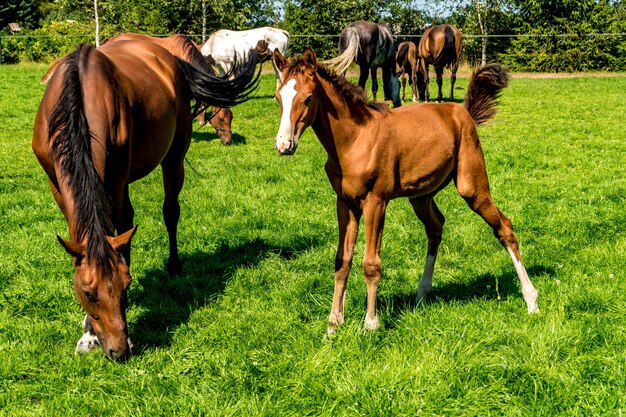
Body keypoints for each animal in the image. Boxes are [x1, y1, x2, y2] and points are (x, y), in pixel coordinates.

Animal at [31, 39, 256, 358]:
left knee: (170, 211)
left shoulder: (114, 180)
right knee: (127, 222)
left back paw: (174, 264)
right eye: (88, 293)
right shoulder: (57, 185)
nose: (119, 350)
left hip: (173, 158)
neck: (80, 99)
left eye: (125, 286)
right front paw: (87, 334)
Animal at [272, 48, 536, 334]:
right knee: (436, 227)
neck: (354, 140)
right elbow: (342, 260)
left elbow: (371, 263)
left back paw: (531, 300)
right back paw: (422, 294)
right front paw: (333, 325)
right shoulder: (345, 204)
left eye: (308, 98)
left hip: (472, 187)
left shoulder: (376, 202)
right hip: (420, 196)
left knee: (504, 228)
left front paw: (371, 323)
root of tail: (463, 111)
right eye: (278, 97)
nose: (284, 144)